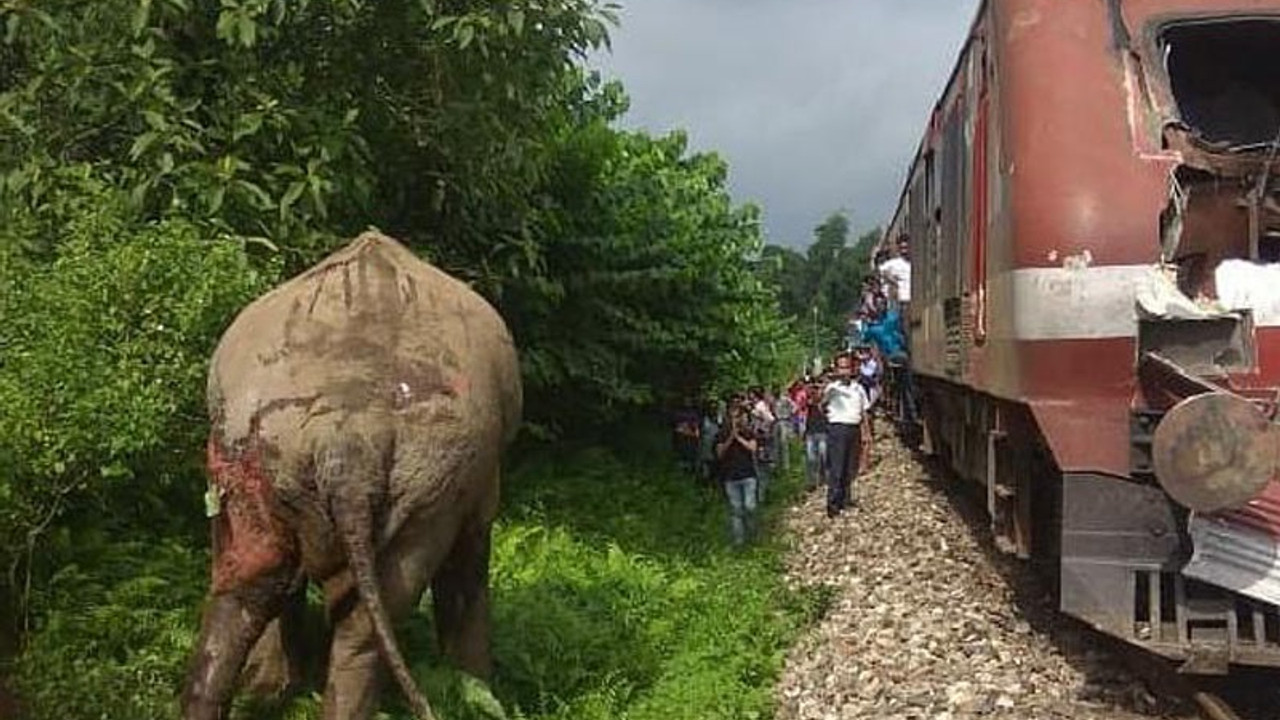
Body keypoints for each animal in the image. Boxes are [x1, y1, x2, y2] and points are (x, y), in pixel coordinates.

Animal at [180, 230, 519, 717]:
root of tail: (350, 434)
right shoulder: (476, 479)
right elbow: (470, 553)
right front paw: (478, 691)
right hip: (431, 480)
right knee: (371, 607)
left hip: (252, 450)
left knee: (249, 580)